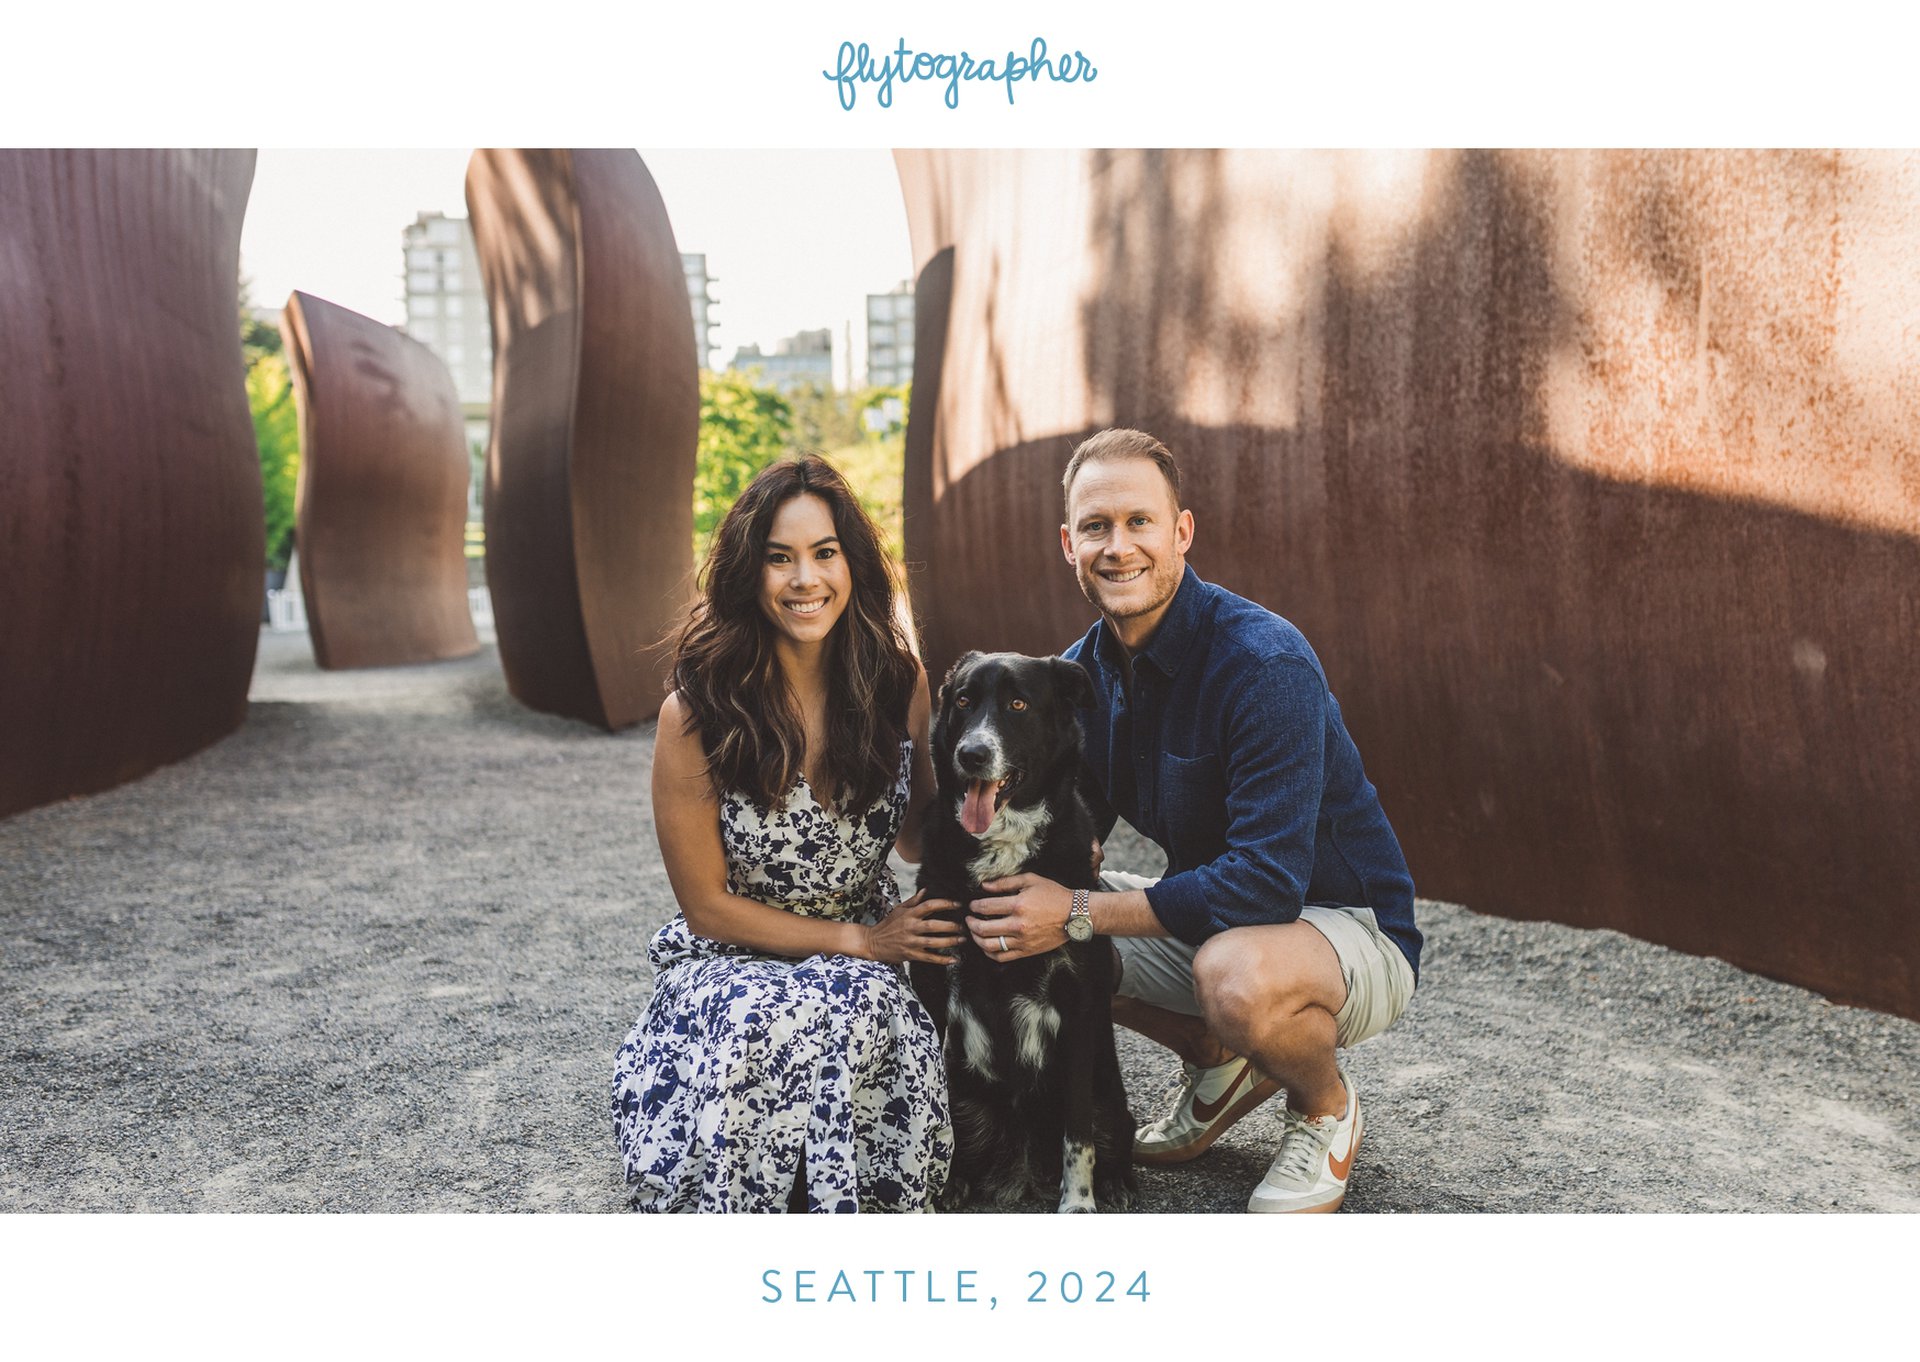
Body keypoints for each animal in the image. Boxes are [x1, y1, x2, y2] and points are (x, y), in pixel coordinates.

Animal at [911, 650, 1135, 1213]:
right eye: (963, 700)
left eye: (1018, 704)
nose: (970, 755)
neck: (1002, 846)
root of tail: (1024, 1161)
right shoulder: (934, 988)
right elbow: (937, 1111)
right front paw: (941, 1187)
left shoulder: (1078, 1005)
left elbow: (1077, 1133)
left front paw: (1078, 1202)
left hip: (1111, 1099)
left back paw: (1117, 1183)